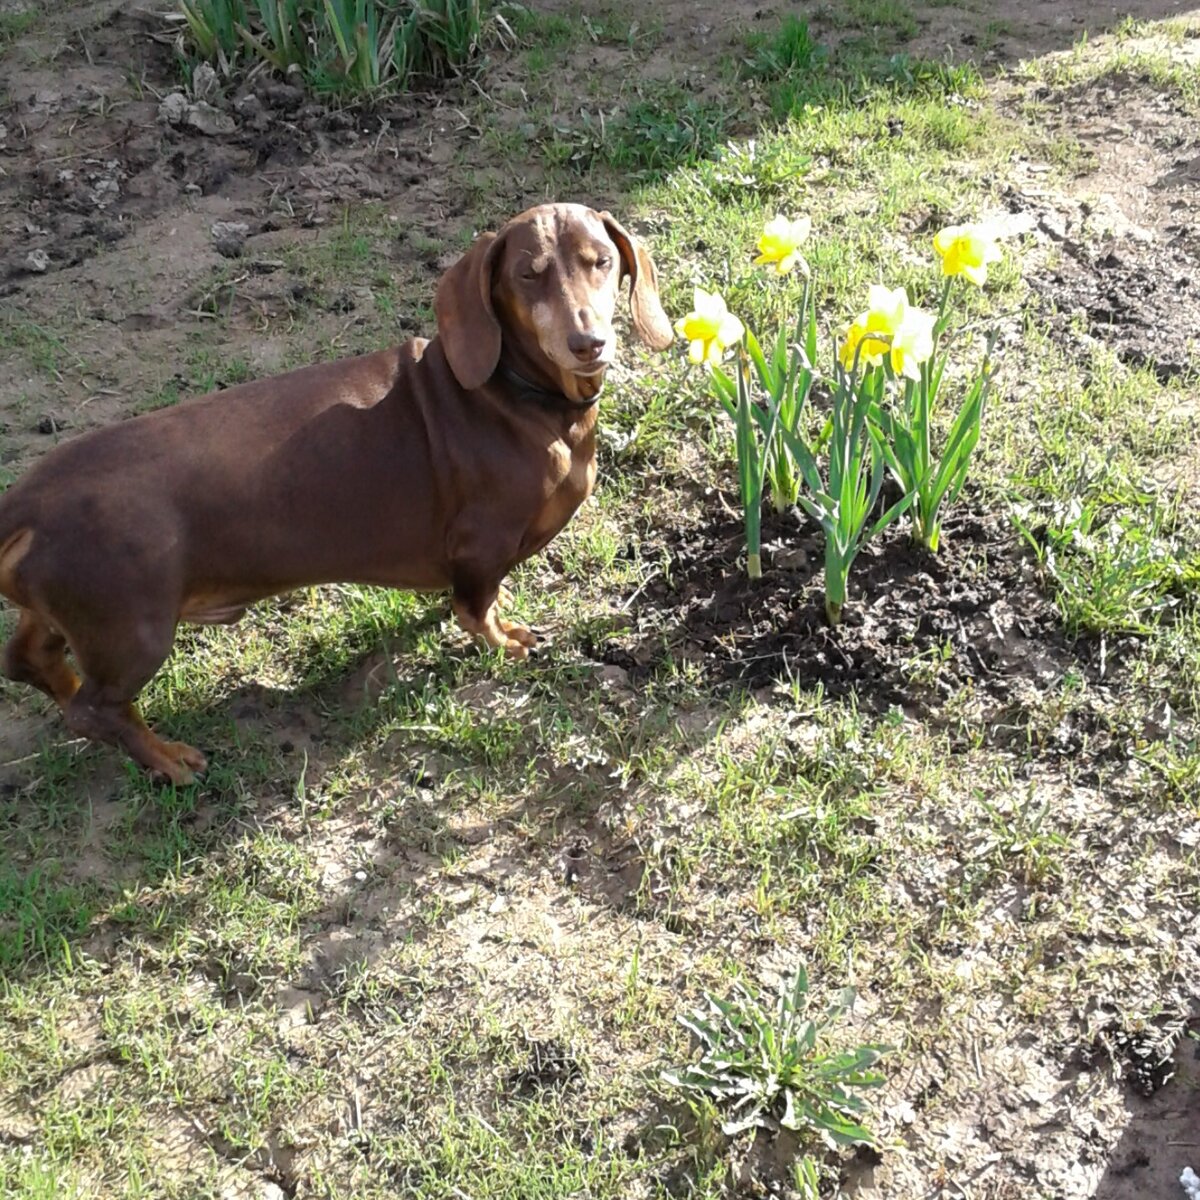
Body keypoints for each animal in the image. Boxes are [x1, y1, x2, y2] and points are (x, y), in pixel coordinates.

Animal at [0, 204, 676, 787]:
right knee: (98, 709)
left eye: (601, 262)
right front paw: (506, 639)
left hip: (69, 615)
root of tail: (26, 501)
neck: (517, 397)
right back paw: (167, 759)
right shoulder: (480, 544)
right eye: (527, 275)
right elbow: (477, 610)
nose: (588, 343)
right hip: (132, 630)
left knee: (29, 661)